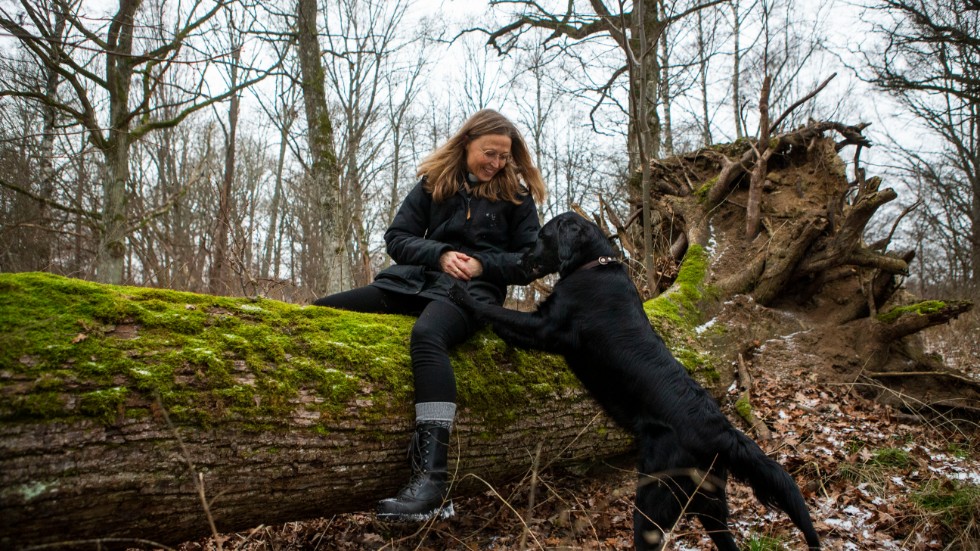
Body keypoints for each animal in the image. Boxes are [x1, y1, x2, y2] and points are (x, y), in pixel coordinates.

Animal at [452, 213, 820, 551]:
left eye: (543, 236)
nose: (520, 260)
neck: (593, 267)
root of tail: (721, 431)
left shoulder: (548, 328)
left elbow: (499, 313)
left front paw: (464, 294)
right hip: (708, 502)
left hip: (655, 497)